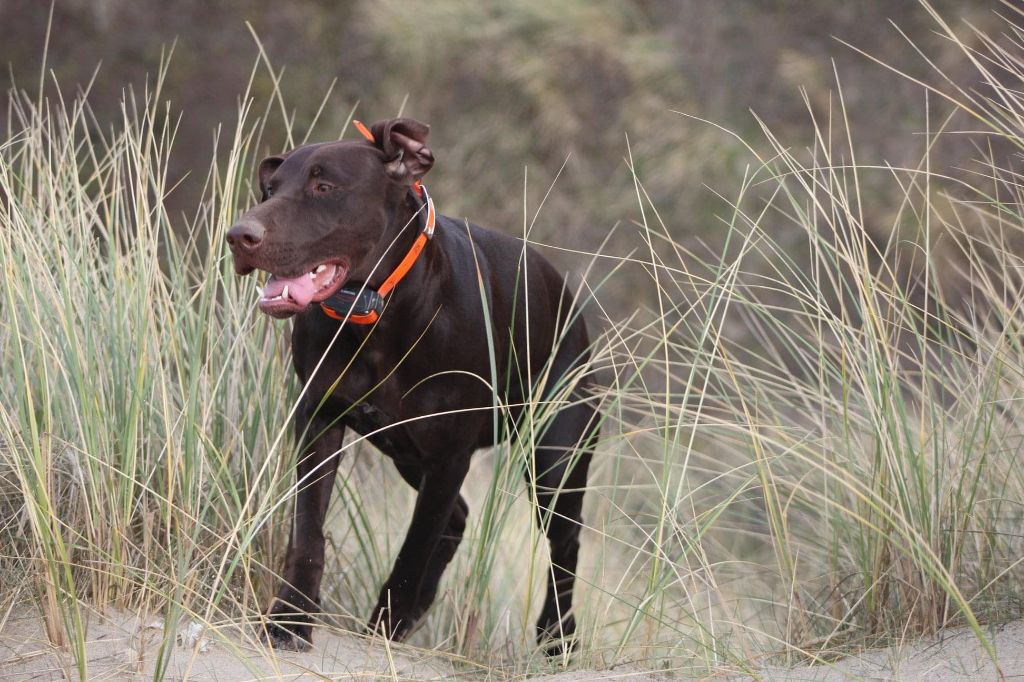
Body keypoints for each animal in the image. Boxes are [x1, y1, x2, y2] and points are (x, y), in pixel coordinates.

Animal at [226, 118, 597, 653]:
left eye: (324, 187)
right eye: (270, 190)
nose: (240, 236)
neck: (376, 315)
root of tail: (569, 300)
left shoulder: (448, 455)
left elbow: (413, 549)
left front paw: (384, 626)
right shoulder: (320, 424)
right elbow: (309, 534)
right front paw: (289, 620)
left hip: (555, 458)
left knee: (564, 543)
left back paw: (556, 638)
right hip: (407, 453)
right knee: (458, 521)